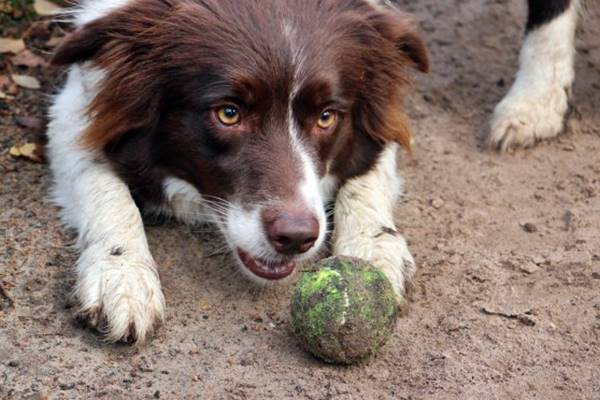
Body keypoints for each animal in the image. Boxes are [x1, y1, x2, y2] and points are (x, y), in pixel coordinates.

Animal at [48, 0, 432, 344]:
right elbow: (104, 187)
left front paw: (374, 246)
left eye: (326, 117)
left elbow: (370, 171)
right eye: (228, 113)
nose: (296, 238)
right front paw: (122, 276)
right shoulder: (75, 112)